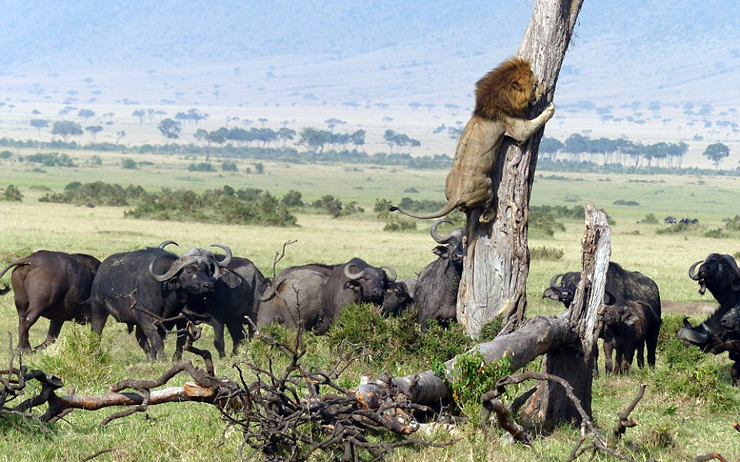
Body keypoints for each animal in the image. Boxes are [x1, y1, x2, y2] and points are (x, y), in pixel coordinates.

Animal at [90, 244, 228, 362]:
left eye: (208, 271)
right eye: (189, 271)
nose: (209, 285)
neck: (165, 290)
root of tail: (101, 269)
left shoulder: (168, 320)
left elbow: (158, 340)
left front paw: (153, 359)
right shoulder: (146, 318)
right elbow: (157, 341)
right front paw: (163, 360)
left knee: (141, 338)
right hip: (98, 309)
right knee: (96, 332)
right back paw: (95, 353)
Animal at [394, 57, 556, 226]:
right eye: (535, 85)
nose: (542, 91)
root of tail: (455, 196)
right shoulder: (517, 128)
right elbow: (536, 123)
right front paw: (550, 107)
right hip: (487, 184)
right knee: (484, 211)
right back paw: (490, 214)